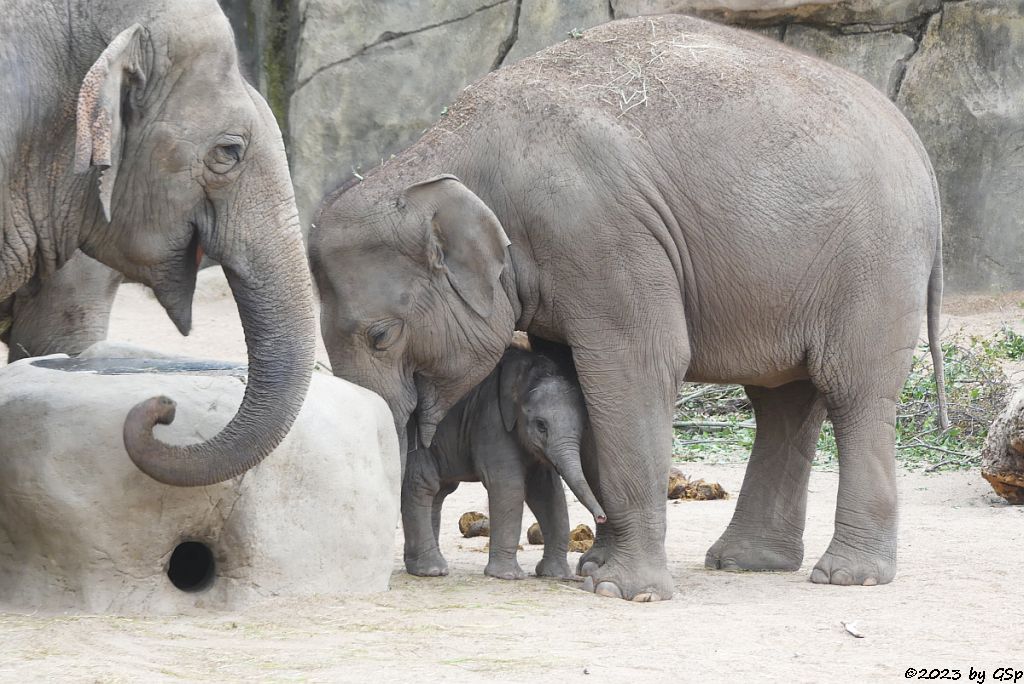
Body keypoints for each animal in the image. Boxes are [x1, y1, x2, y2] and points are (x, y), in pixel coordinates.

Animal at [401, 350, 606, 581]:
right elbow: (509, 486)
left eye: (583, 427)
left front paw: (556, 575)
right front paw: (509, 576)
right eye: (541, 425)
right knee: (423, 485)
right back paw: (432, 570)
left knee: (438, 493)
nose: (601, 517)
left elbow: (548, 492)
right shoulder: (492, 421)